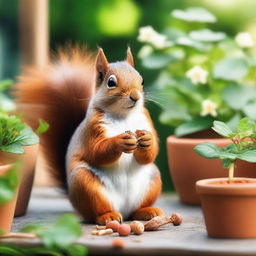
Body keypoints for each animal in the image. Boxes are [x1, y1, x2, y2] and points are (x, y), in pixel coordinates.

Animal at [15, 46, 164, 224]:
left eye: (141, 80)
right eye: (111, 82)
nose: (135, 96)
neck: (123, 116)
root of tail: (124, 210)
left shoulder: (146, 120)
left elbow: (150, 154)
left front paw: (147, 140)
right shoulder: (92, 128)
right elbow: (96, 151)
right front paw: (120, 141)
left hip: (153, 178)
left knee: (136, 209)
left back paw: (147, 211)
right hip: (85, 184)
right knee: (96, 212)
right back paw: (108, 216)